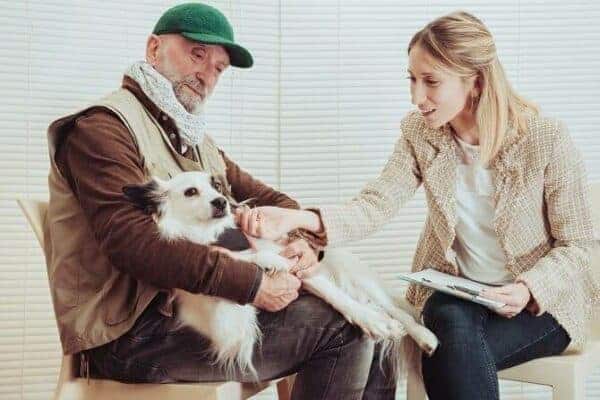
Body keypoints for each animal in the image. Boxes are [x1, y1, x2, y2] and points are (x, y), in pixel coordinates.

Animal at [123, 171, 438, 379]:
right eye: (190, 192)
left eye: (217, 186)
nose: (221, 202)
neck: (214, 235)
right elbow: (232, 265)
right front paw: (266, 262)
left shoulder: (303, 268)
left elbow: (339, 299)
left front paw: (371, 321)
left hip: (353, 277)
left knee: (396, 311)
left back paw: (420, 334)